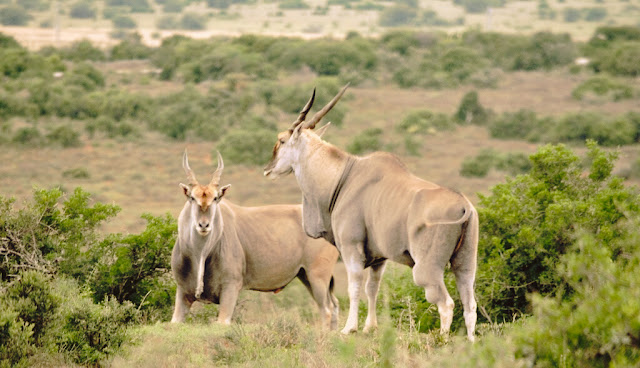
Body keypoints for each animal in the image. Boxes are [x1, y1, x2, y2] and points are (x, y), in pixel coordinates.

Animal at [170, 151, 340, 330]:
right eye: (192, 198)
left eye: (216, 198)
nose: (204, 225)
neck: (201, 254)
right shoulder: (182, 292)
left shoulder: (231, 287)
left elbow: (222, 322)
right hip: (306, 275)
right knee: (335, 304)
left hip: (317, 275)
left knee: (327, 308)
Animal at [262, 86, 478, 342]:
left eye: (281, 140)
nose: (267, 169)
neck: (344, 177)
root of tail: (464, 205)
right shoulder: (379, 259)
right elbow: (372, 287)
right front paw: (369, 327)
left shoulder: (351, 248)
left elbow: (354, 286)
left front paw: (350, 328)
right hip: (465, 264)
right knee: (470, 305)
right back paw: (471, 343)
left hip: (426, 268)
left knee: (446, 303)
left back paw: (442, 341)